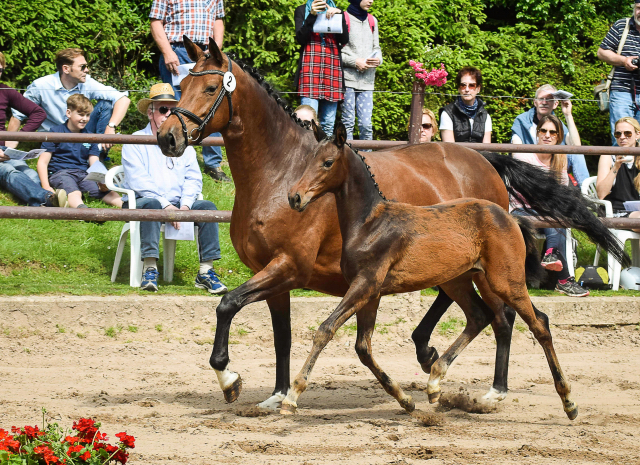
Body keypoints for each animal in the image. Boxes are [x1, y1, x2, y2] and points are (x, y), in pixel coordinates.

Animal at [284, 121, 576, 418]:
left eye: (328, 162)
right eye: (309, 159)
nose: (295, 197)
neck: (369, 223)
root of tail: (510, 217)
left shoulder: (365, 284)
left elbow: (326, 329)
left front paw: (292, 395)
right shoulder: (370, 292)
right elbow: (363, 348)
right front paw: (404, 399)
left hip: (505, 280)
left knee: (538, 324)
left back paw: (568, 401)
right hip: (459, 280)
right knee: (480, 316)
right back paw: (435, 382)